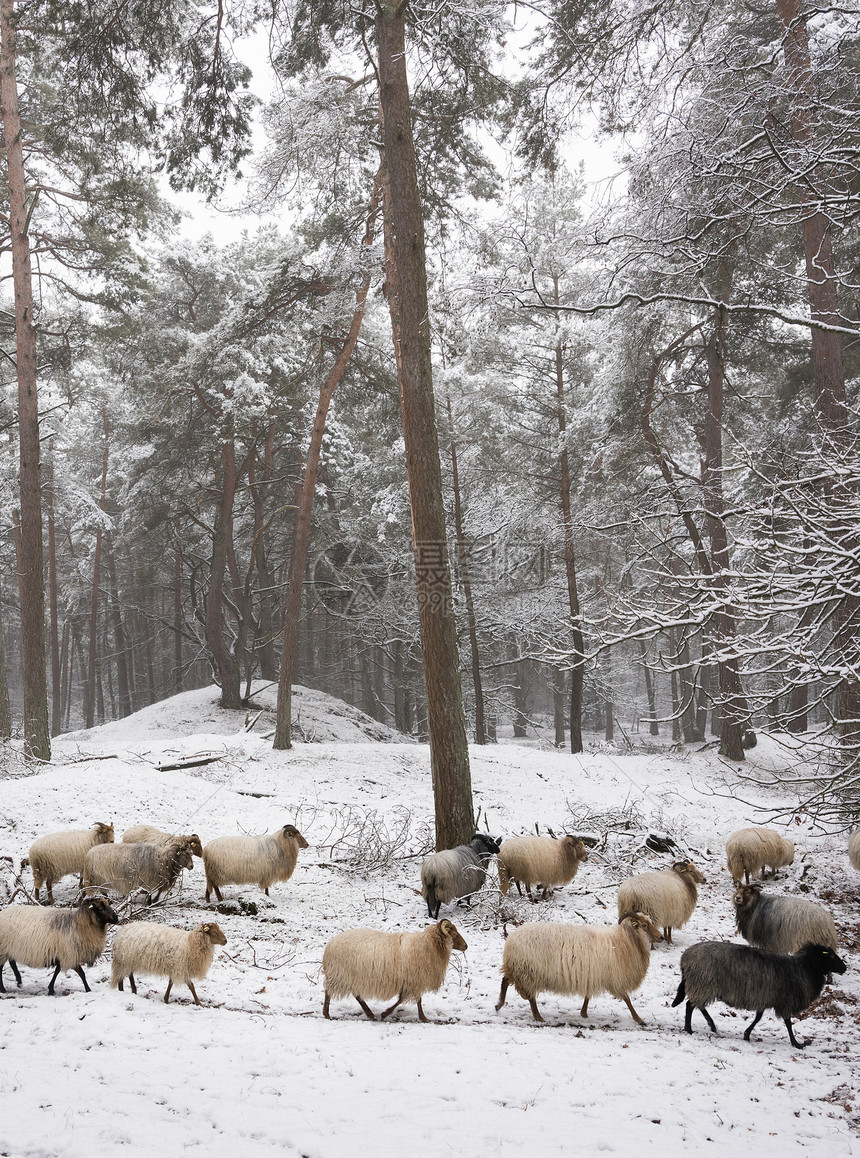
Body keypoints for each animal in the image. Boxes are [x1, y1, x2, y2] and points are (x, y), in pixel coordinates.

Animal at [324, 917, 469, 1019]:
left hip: (352, 976)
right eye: (453, 934)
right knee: (329, 992)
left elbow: (411, 1000)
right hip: (341, 974)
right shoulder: (414, 980)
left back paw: (369, 1013)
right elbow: (406, 1000)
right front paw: (386, 1013)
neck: (429, 945)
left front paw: (422, 1017)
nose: (466, 946)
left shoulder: (413, 980)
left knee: (357, 995)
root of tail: (330, 945)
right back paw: (326, 1014)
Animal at [495, 912, 662, 1023]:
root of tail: (511, 938)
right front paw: (639, 1019)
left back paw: (499, 1005)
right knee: (529, 996)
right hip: (529, 971)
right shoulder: (614, 978)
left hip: (519, 969)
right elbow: (627, 999)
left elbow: (588, 995)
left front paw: (584, 1013)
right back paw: (538, 1016)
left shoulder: (592, 974)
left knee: (505, 980)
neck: (625, 941)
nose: (661, 937)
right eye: (644, 925)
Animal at [671, 940, 847, 1051]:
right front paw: (796, 1043)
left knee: (697, 1005)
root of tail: (685, 957)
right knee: (690, 1005)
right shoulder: (784, 1001)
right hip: (703, 984)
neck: (804, 969)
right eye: (830, 955)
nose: (844, 968)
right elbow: (788, 1023)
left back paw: (710, 1025)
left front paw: (747, 1034)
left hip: (702, 985)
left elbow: (758, 1018)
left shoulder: (765, 997)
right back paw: (691, 1029)